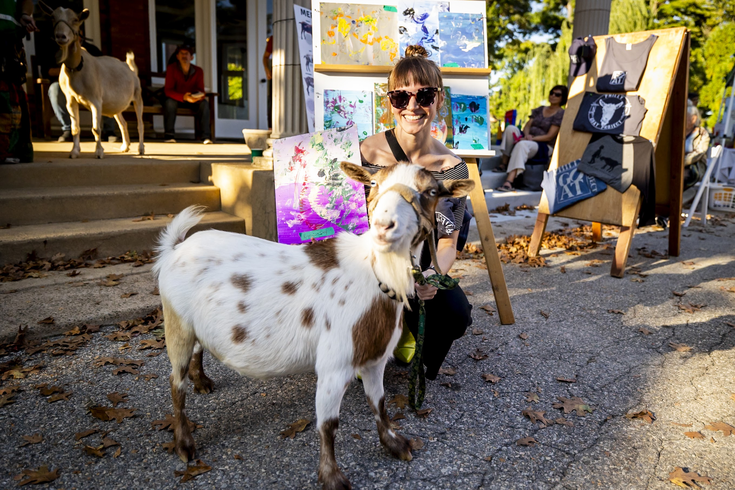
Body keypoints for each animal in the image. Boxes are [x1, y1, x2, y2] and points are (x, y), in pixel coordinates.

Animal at [42, 6, 144, 159]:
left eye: (75, 20)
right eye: (53, 17)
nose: (61, 36)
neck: (77, 68)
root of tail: (131, 70)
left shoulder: (96, 101)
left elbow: (96, 128)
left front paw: (99, 152)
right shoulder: (70, 101)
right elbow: (75, 128)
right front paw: (74, 152)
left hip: (137, 96)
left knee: (140, 124)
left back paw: (141, 149)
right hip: (114, 104)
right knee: (123, 123)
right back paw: (125, 146)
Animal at [153, 162, 474, 489]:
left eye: (430, 191)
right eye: (373, 183)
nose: (384, 226)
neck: (373, 273)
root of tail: (176, 248)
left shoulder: (373, 358)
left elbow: (379, 404)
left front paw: (395, 444)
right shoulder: (334, 364)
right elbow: (328, 425)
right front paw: (332, 477)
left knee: (197, 349)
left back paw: (201, 381)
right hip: (176, 323)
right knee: (175, 383)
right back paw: (184, 444)